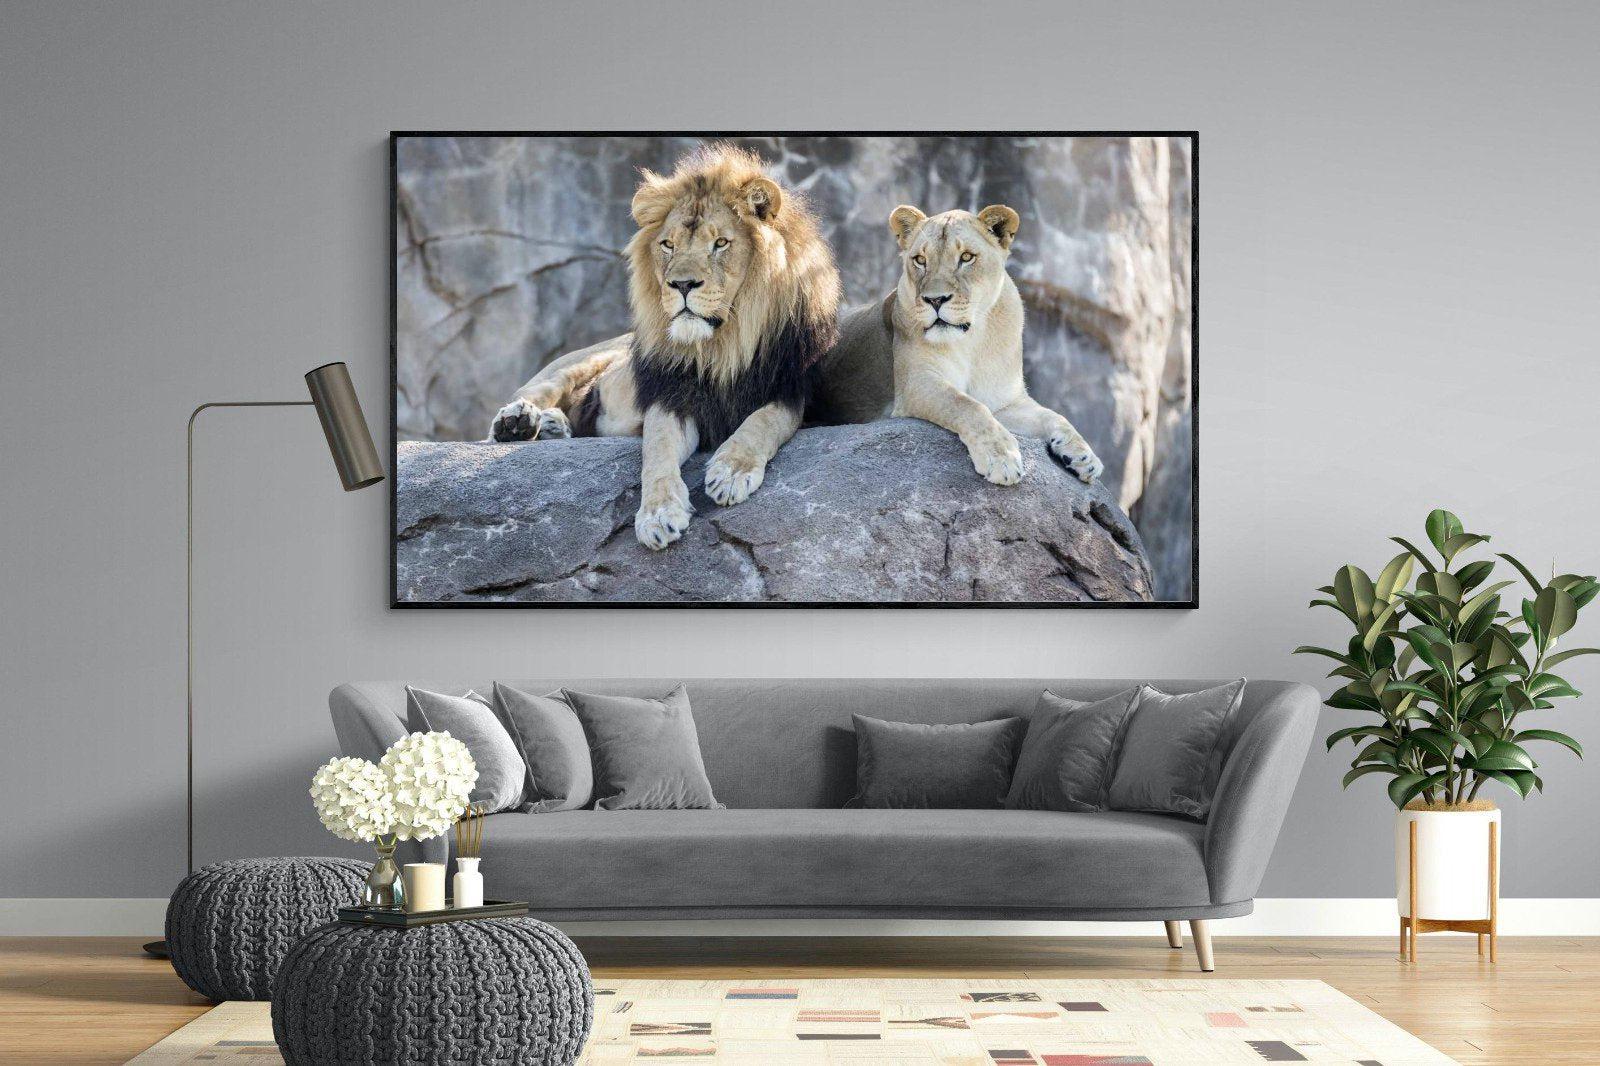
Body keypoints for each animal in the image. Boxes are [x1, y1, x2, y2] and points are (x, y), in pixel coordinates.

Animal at [488, 146, 841, 549]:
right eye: (668, 245)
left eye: (720, 243)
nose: (682, 284)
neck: (722, 346)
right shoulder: (670, 396)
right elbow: (656, 450)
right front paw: (658, 515)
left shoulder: (791, 391)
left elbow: (763, 422)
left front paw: (731, 472)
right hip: (576, 363)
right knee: (533, 393)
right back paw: (518, 422)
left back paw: (552, 426)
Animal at [815, 203, 1103, 486]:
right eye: (920, 260)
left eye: (966, 257)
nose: (935, 300)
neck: (973, 340)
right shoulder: (917, 384)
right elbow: (966, 405)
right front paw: (1001, 458)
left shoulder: (1005, 401)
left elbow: (1054, 416)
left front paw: (1084, 456)